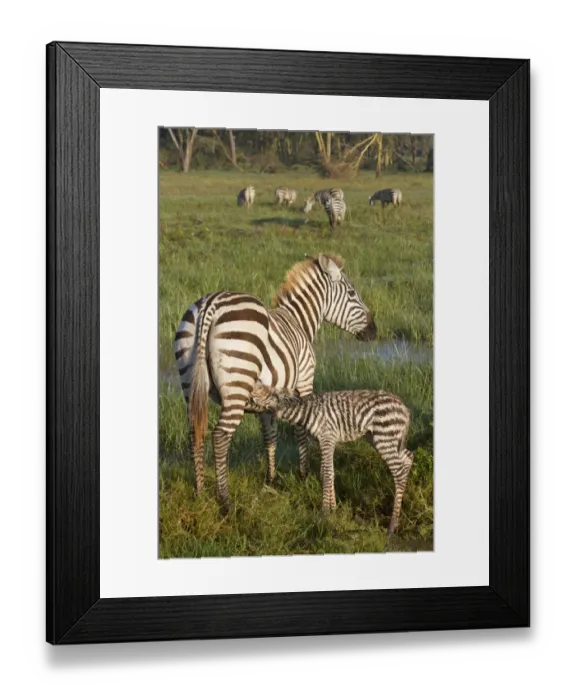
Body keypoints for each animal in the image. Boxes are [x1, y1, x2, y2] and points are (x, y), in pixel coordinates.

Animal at [174, 254, 377, 507]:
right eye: (351, 293)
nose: (374, 330)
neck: (299, 322)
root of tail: (210, 304)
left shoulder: (268, 398)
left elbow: (269, 436)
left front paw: (270, 479)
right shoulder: (304, 382)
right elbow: (301, 429)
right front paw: (304, 474)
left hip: (188, 381)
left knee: (195, 433)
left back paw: (200, 492)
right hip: (236, 386)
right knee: (220, 436)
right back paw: (225, 499)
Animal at [248, 383, 414, 535]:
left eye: (261, 390)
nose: (248, 391)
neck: (305, 412)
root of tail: (404, 408)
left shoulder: (327, 439)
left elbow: (327, 474)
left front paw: (324, 513)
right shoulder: (326, 442)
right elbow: (327, 473)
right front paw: (333, 509)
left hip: (384, 438)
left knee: (398, 472)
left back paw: (392, 525)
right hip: (379, 438)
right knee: (408, 458)